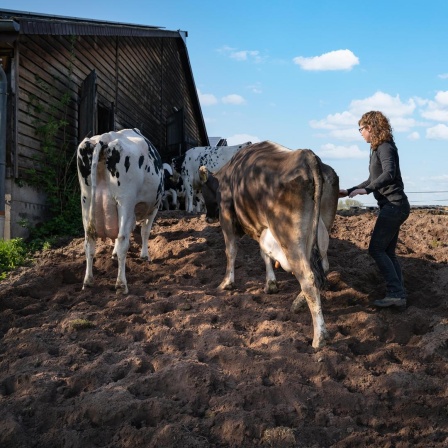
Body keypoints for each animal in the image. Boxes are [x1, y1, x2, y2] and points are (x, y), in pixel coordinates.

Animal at [77, 128, 164, 294]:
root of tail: (105, 137)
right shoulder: (153, 208)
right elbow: (144, 232)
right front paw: (145, 255)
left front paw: (114, 253)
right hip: (125, 200)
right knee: (124, 239)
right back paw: (121, 284)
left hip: (86, 200)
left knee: (89, 241)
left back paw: (88, 281)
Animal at [198, 142, 338, 348]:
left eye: (202, 190)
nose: (207, 217)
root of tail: (306, 156)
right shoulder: (261, 228)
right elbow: (264, 254)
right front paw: (270, 283)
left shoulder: (226, 217)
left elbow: (231, 251)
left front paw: (226, 283)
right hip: (322, 227)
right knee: (323, 267)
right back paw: (298, 303)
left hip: (290, 239)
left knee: (308, 278)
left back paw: (319, 336)